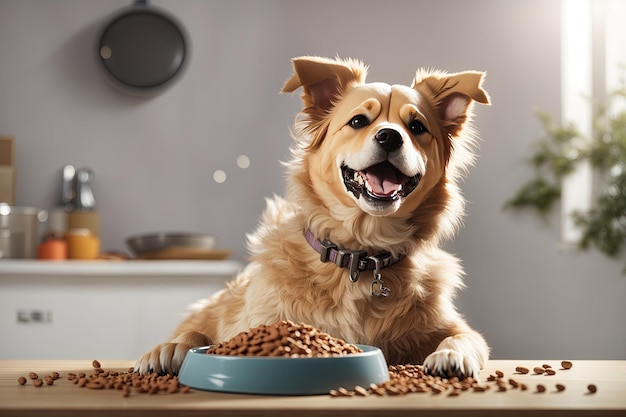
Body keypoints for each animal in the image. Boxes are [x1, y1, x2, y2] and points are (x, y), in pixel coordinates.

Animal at [134, 56, 490, 380]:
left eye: (417, 127)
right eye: (358, 121)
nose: (390, 136)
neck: (360, 253)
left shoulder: (456, 327)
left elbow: (465, 337)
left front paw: (450, 355)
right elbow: (212, 336)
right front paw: (174, 348)